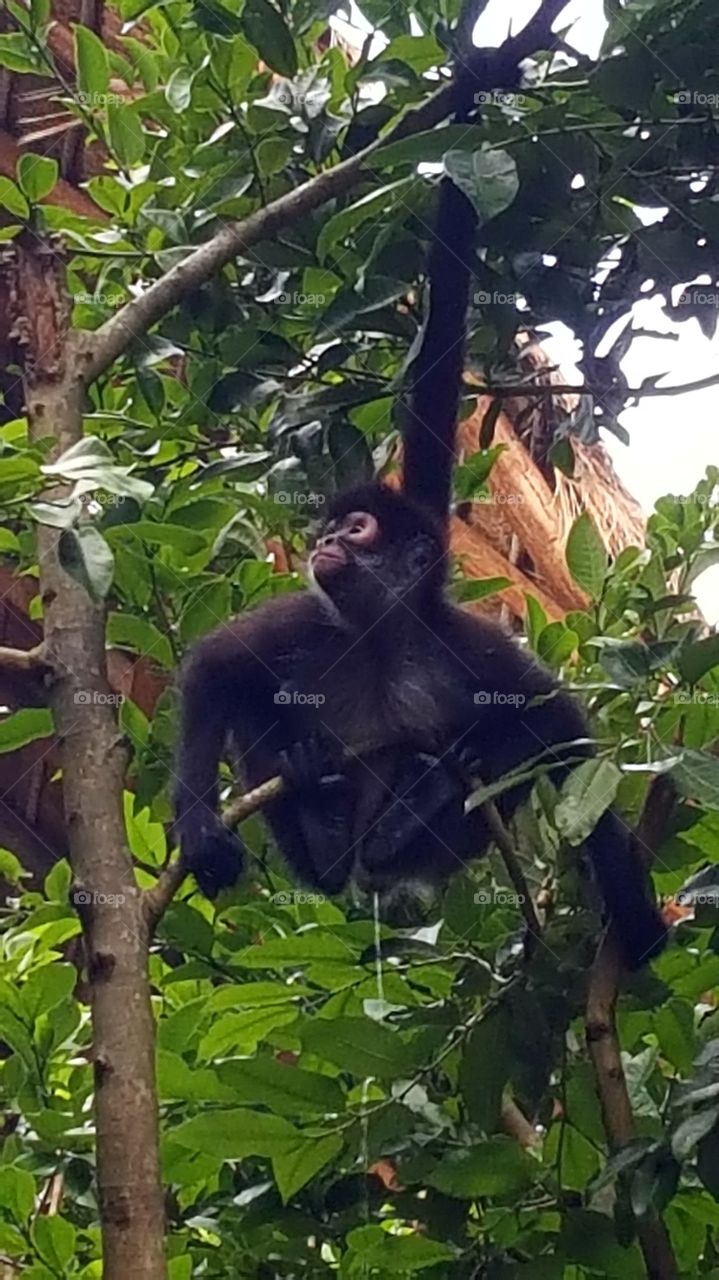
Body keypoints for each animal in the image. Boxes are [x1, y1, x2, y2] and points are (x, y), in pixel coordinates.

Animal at [173, 23, 668, 972]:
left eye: (357, 526)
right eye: (330, 527)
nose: (327, 542)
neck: (378, 637)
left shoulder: (465, 644)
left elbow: (564, 734)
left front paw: (635, 924)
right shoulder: (311, 617)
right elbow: (214, 665)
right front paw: (198, 829)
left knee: (492, 757)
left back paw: (414, 810)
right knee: (291, 770)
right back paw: (319, 817)